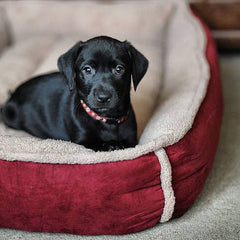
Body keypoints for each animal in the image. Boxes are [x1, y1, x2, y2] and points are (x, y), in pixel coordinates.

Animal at [0, 36, 148, 150]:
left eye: (119, 69)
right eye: (87, 69)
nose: (103, 97)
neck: (107, 120)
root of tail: (13, 93)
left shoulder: (132, 139)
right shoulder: (82, 140)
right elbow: (97, 144)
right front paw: (111, 145)